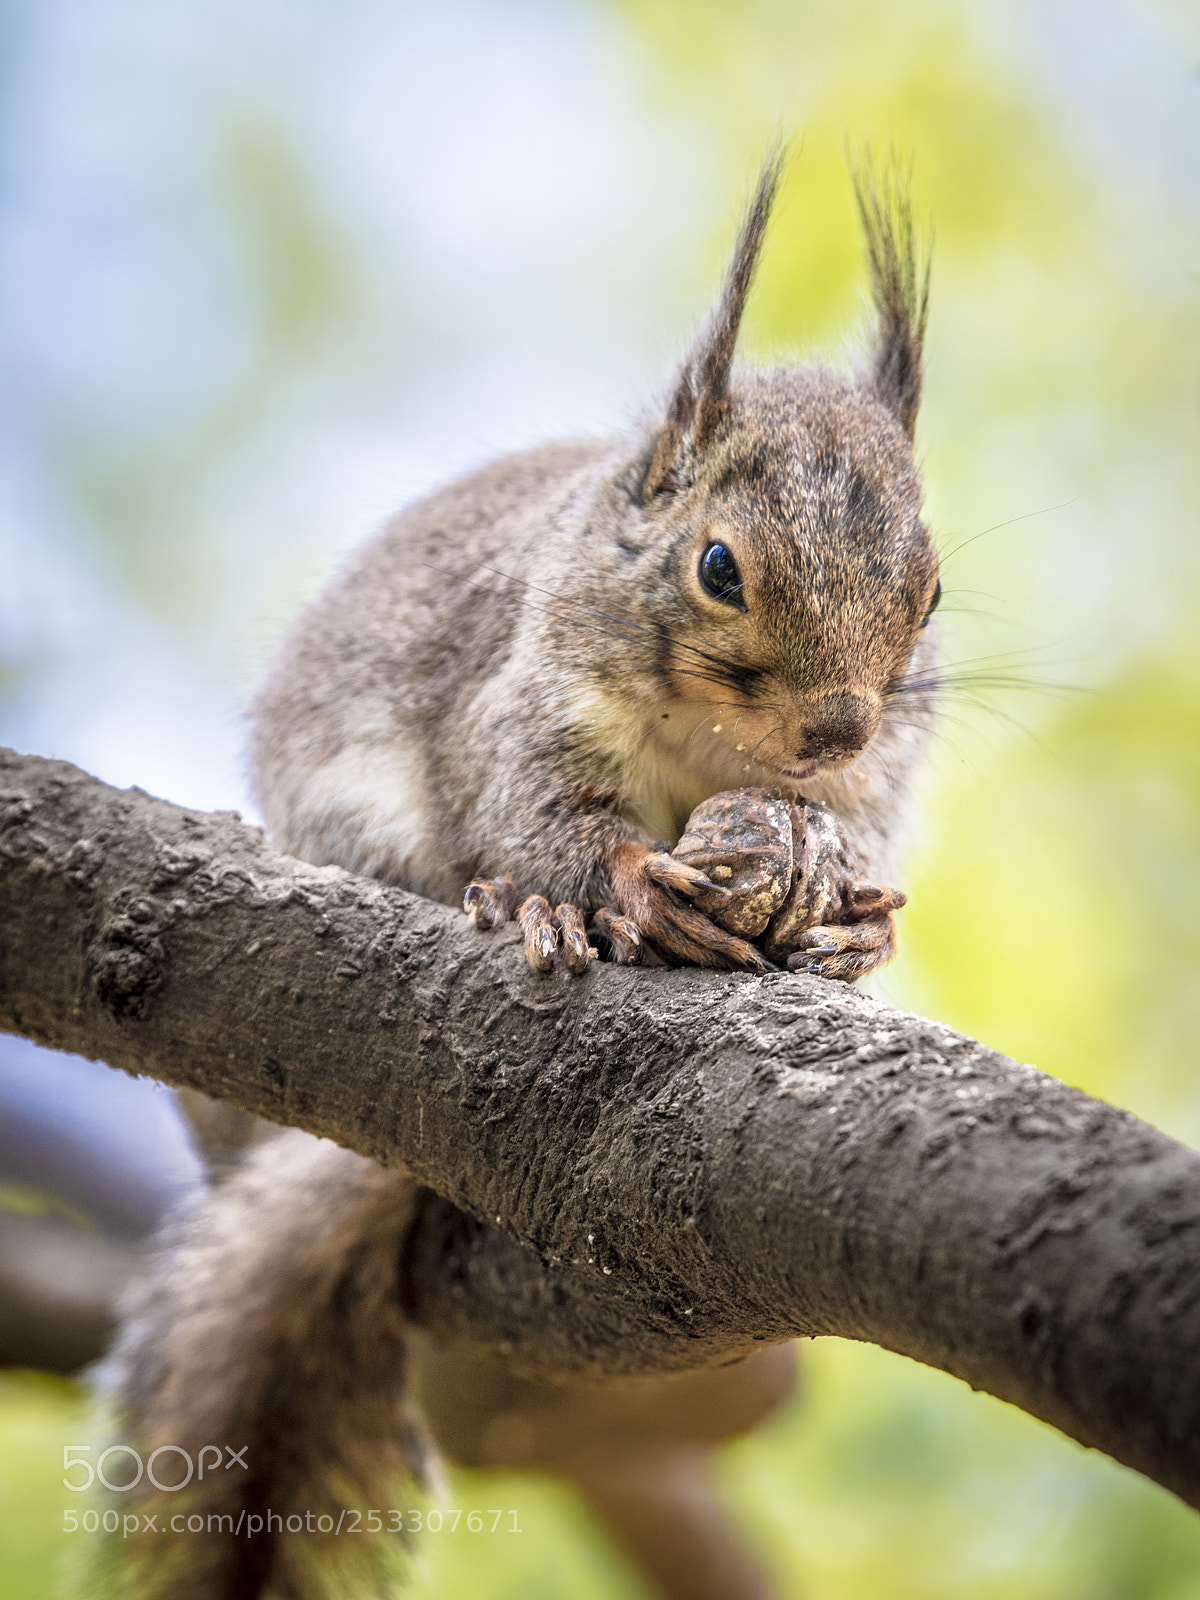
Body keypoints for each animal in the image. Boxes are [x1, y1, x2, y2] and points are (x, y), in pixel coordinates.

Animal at [105, 156, 940, 1600]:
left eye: (933, 592)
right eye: (719, 566)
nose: (835, 729)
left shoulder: (863, 793)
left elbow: (852, 855)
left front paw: (854, 933)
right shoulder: (523, 707)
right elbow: (537, 811)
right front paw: (611, 885)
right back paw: (522, 909)